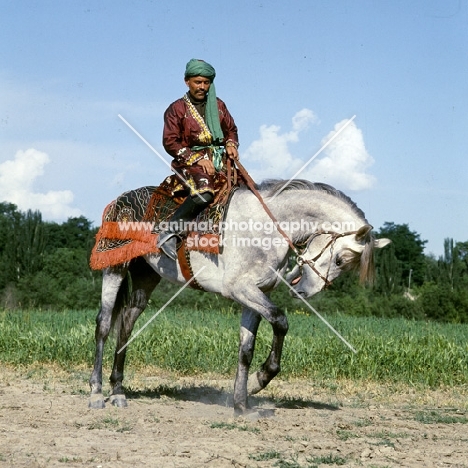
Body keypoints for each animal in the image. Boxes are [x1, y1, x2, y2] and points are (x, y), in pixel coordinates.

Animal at [89, 179, 390, 414]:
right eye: (340, 259)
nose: (304, 292)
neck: (269, 225)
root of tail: (119, 200)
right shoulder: (241, 289)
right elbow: (281, 321)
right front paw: (260, 379)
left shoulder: (255, 295)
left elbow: (246, 349)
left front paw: (241, 404)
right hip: (114, 266)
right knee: (104, 324)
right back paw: (96, 393)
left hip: (146, 275)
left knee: (126, 323)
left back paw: (118, 392)